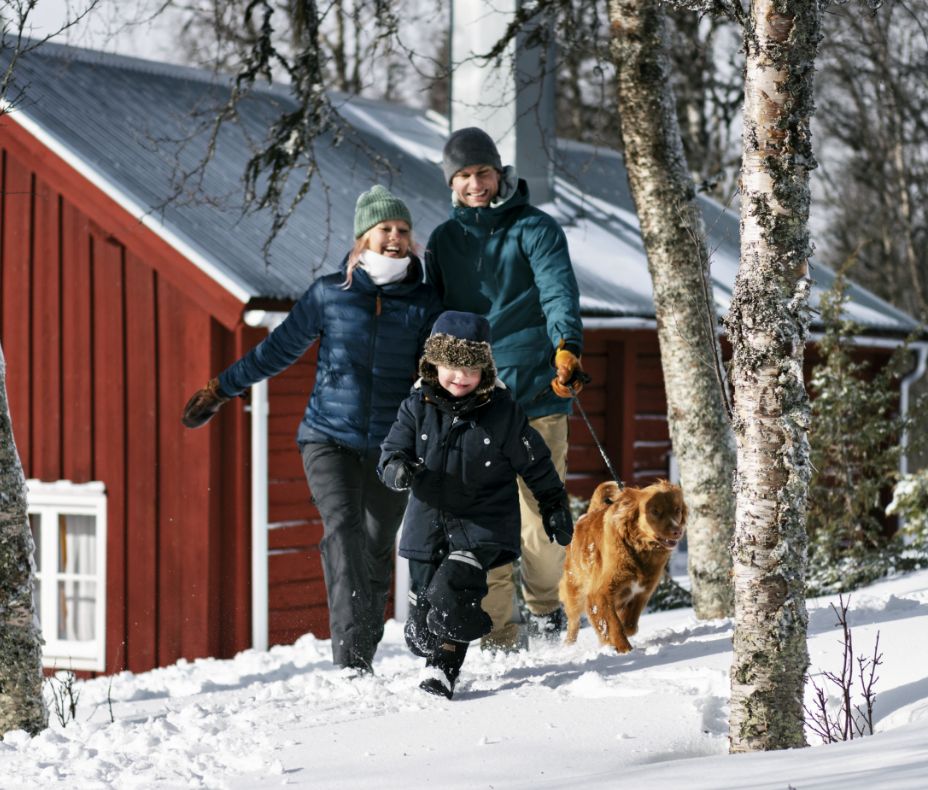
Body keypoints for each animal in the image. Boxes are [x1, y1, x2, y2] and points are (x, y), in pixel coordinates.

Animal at [560, 480, 680, 652]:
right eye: (655, 511)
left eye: (677, 510)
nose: (677, 531)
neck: (639, 549)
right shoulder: (599, 593)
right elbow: (613, 624)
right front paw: (623, 648)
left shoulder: (642, 593)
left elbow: (629, 624)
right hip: (575, 592)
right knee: (574, 622)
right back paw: (569, 645)